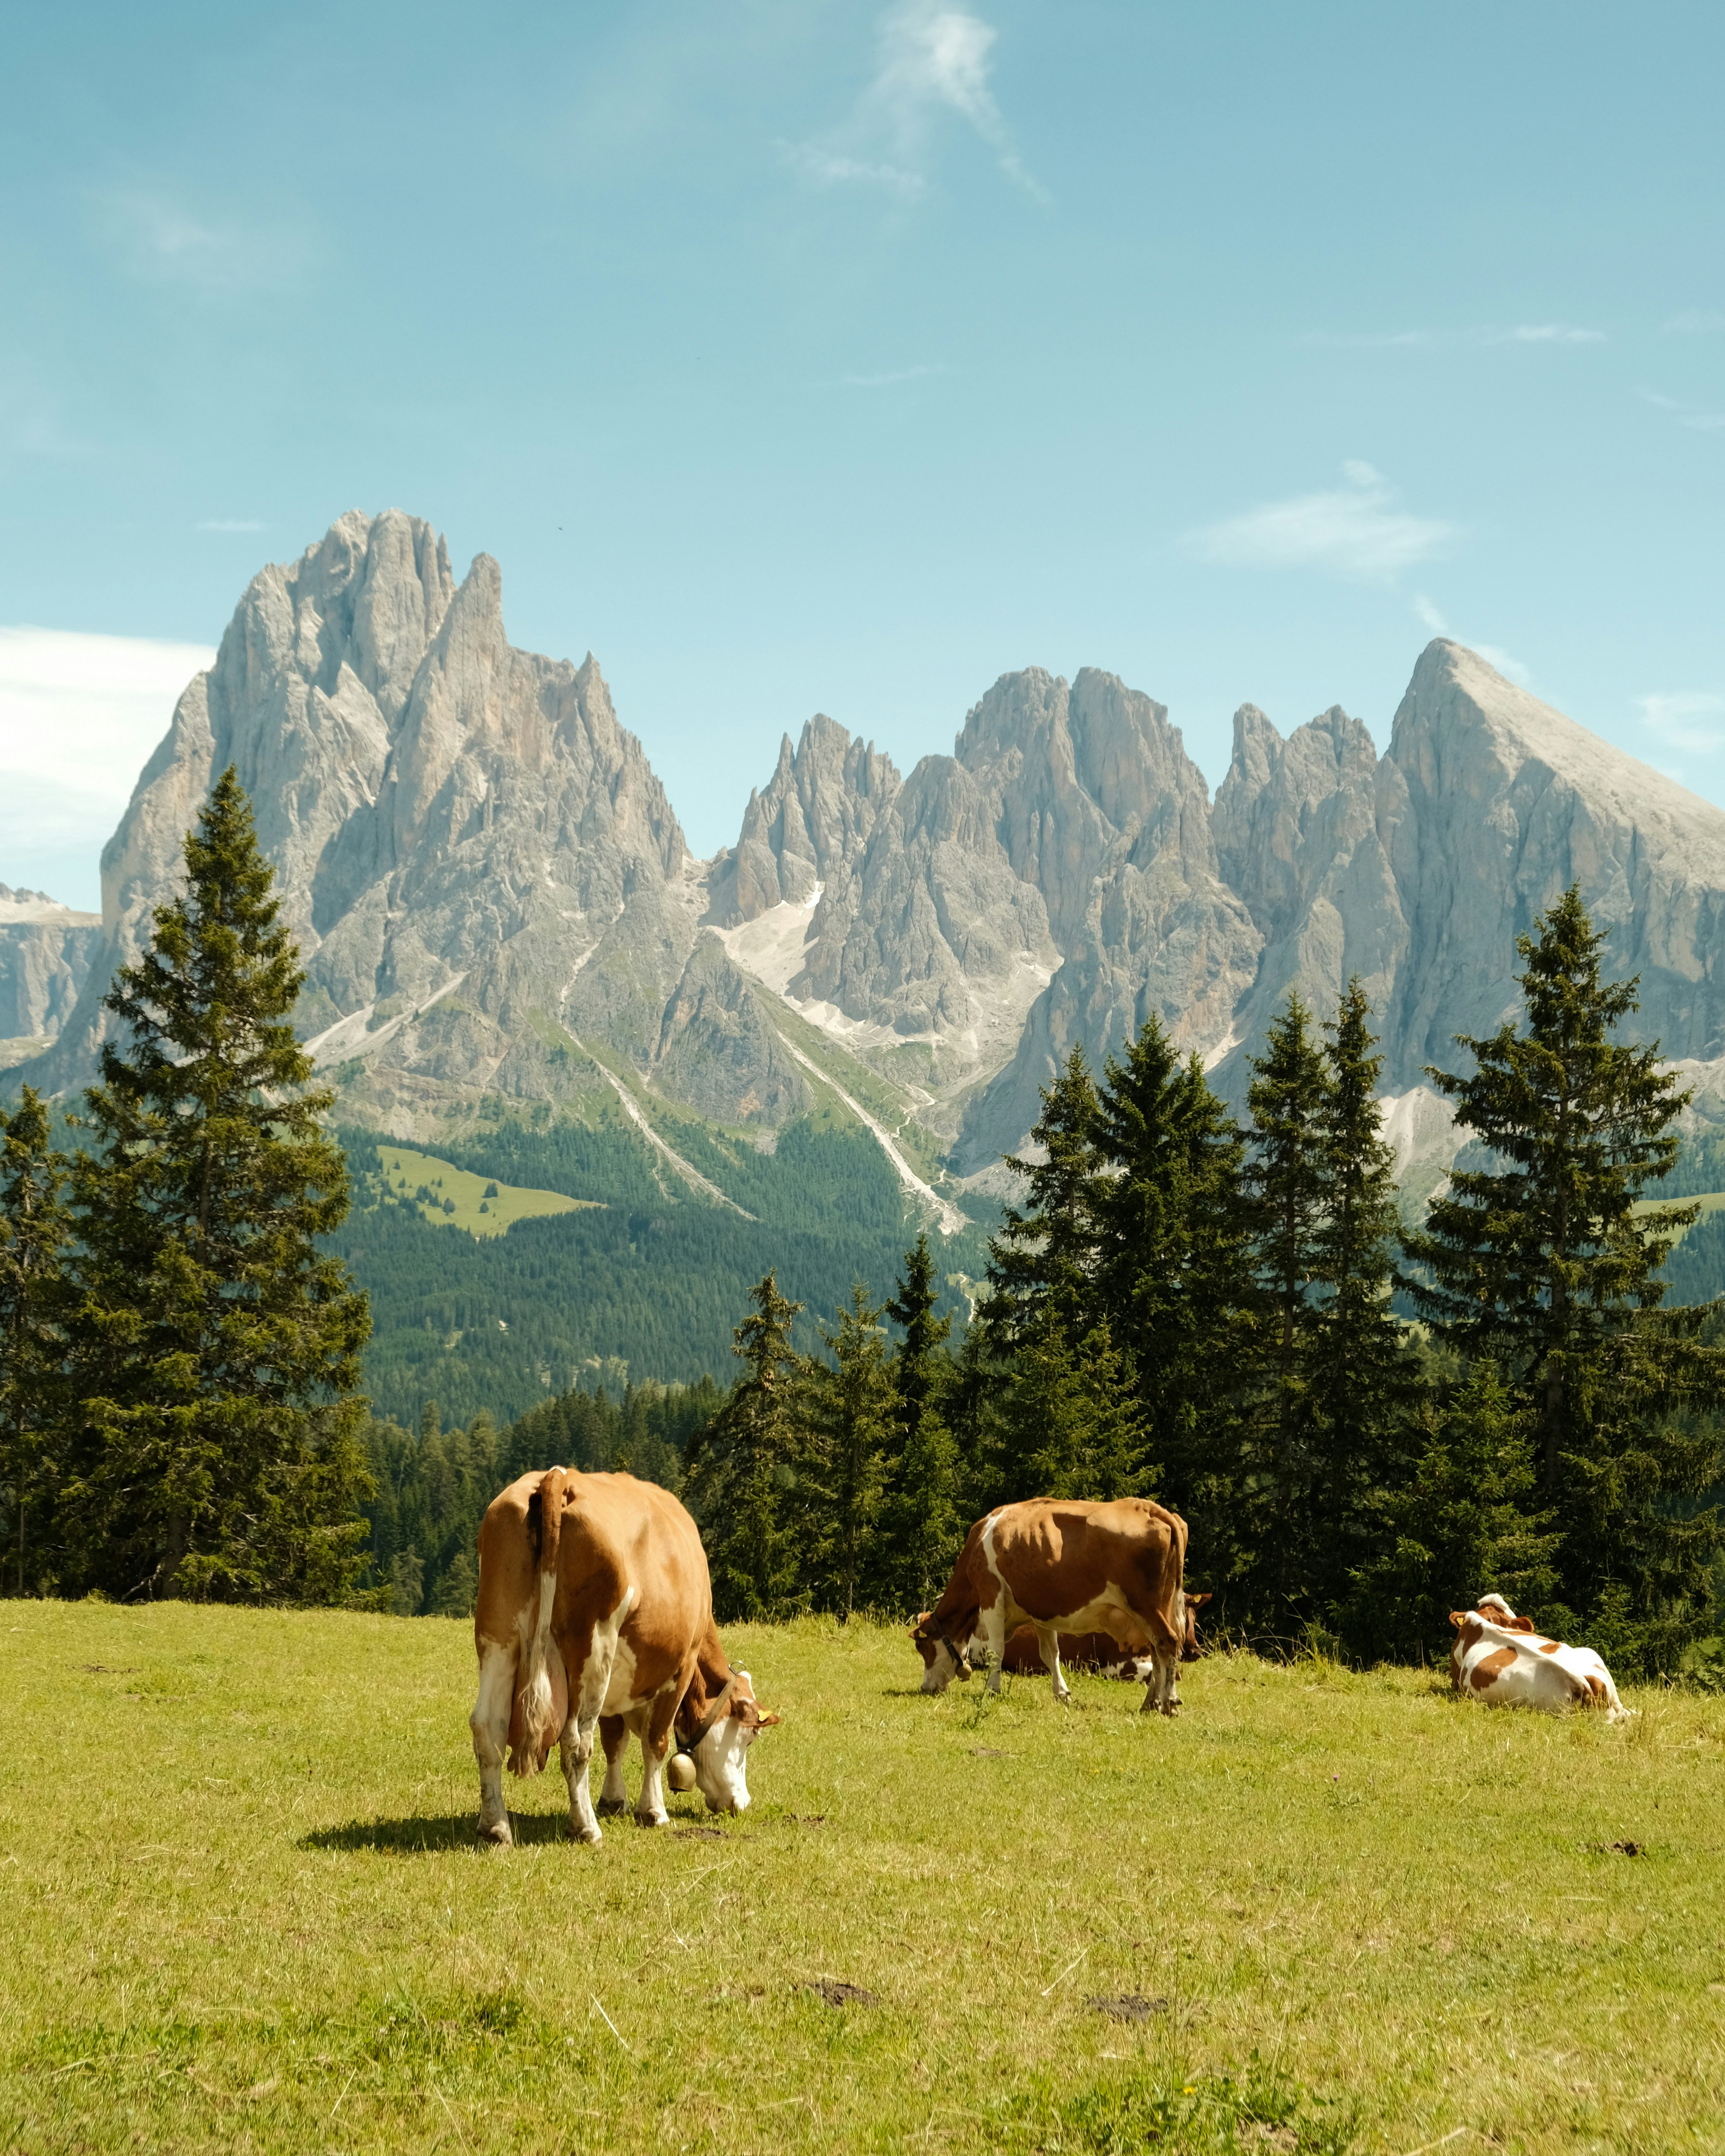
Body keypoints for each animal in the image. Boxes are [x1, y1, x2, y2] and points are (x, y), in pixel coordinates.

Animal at [470, 1466, 779, 1847]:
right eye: (750, 1738)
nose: (741, 1803)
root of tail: (558, 1477)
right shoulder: (680, 1667)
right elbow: (655, 1742)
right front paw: (653, 1812)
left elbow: (614, 1739)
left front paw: (613, 1801)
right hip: (593, 1646)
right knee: (576, 1742)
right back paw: (586, 1828)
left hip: (498, 1638)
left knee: (488, 1729)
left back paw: (495, 1828)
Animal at [912, 1497, 1190, 1714]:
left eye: (923, 1648)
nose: (926, 1688)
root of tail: (1150, 1508)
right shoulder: (1040, 1611)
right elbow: (1050, 1654)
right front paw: (1062, 1694)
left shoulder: (992, 1597)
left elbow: (997, 1651)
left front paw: (992, 1690)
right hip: (1158, 1609)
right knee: (1158, 1651)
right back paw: (1150, 1703)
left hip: (1145, 1607)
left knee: (1167, 1643)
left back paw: (1169, 1702)